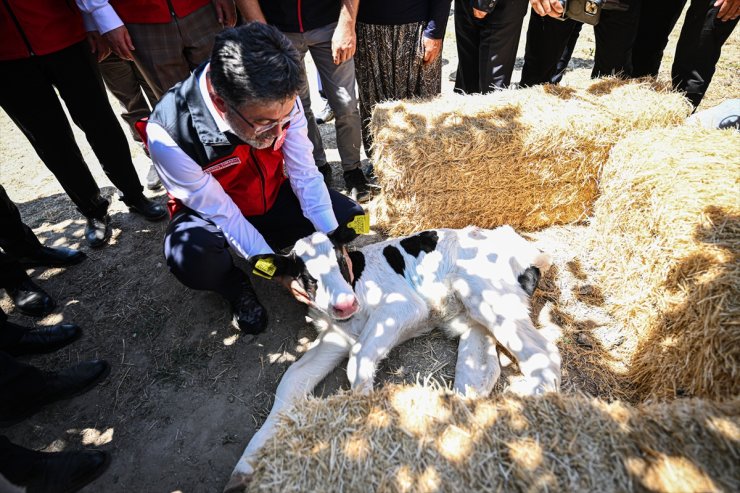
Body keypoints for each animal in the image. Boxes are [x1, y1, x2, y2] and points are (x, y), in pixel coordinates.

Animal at [225, 225, 560, 490]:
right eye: (306, 276)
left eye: (340, 261)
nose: (345, 304)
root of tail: (523, 246)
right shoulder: (336, 335)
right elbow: (292, 378)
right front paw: (246, 465)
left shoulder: (403, 306)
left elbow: (359, 359)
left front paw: (364, 424)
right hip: (473, 316)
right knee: (481, 372)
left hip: (489, 297)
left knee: (543, 352)